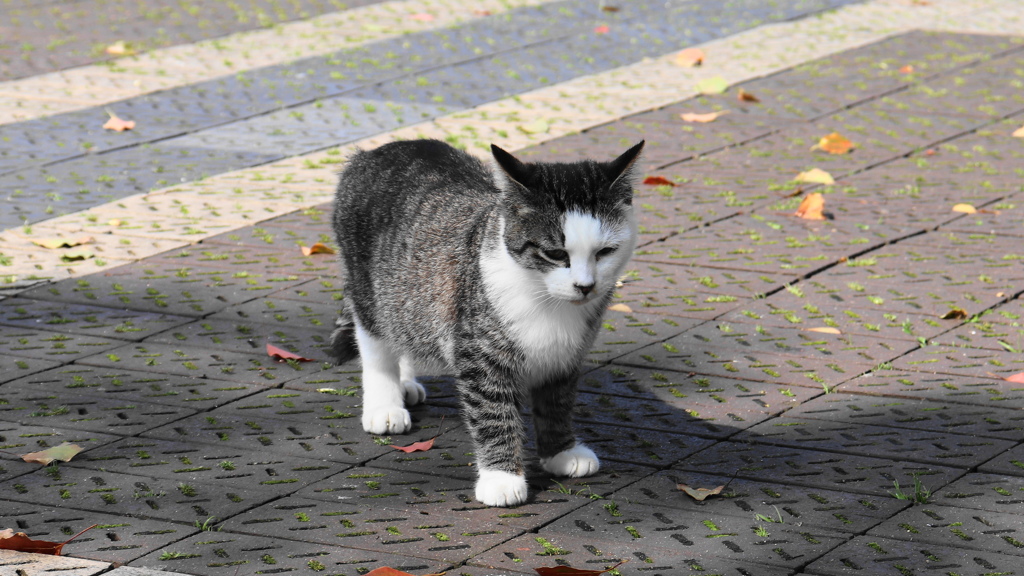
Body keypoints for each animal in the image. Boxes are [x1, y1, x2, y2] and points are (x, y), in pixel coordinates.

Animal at [331, 136, 643, 504]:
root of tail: (380, 150)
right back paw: (385, 401)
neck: (546, 298)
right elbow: (493, 412)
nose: (585, 286)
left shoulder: (567, 352)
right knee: (375, 339)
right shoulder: (478, 351)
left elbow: (558, 400)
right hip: (367, 283)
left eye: (605, 252)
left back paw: (405, 380)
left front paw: (561, 451)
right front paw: (501, 477)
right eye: (555, 254)